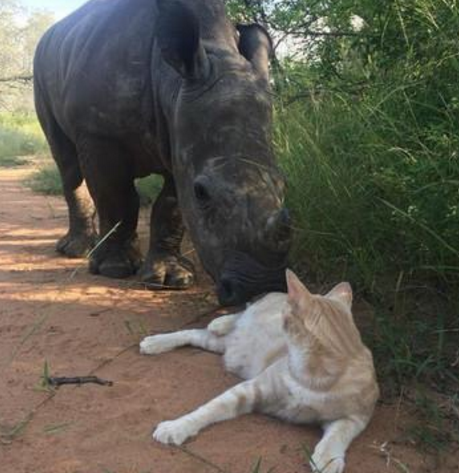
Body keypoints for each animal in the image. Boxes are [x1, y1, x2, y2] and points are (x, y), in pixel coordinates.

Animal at [34, 0, 292, 306]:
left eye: (282, 183)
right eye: (202, 193)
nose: (262, 286)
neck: (171, 81)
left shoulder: (180, 139)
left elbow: (171, 207)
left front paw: (171, 279)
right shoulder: (98, 132)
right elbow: (116, 197)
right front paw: (114, 268)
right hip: (42, 67)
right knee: (67, 163)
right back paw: (78, 251)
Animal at [140, 270, 380, 472]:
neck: (313, 376)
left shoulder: (355, 417)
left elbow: (337, 436)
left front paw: (328, 459)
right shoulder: (246, 391)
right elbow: (207, 410)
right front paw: (176, 427)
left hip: (228, 348)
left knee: (197, 334)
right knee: (221, 320)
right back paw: (200, 327)